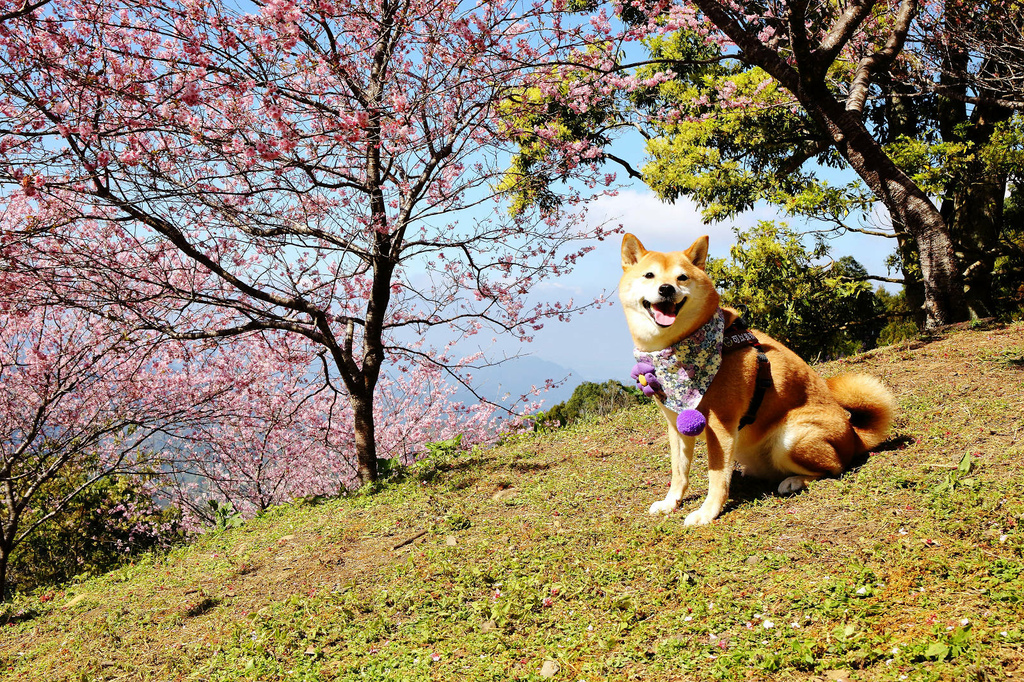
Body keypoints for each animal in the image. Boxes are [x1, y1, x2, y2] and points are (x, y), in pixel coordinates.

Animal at [618, 231, 892, 522]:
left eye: (682, 278)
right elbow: (679, 473)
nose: (667, 289)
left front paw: (707, 513)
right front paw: (671, 503)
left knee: (835, 467)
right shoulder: (677, 426)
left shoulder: (721, 425)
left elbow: (717, 477)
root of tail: (855, 436)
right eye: (649, 275)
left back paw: (795, 480)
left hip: (790, 438)